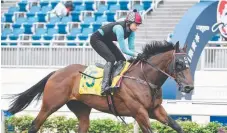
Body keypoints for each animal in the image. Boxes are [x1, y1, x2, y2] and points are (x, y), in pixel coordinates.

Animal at [7, 40, 194, 133]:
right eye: (178, 63)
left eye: (189, 63)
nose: (189, 88)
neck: (143, 78)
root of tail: (56, 72)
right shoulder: (139, 112)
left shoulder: (154, 110)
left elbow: (178, 127)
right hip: (50, 105)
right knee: (34, 125)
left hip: (81, 108)